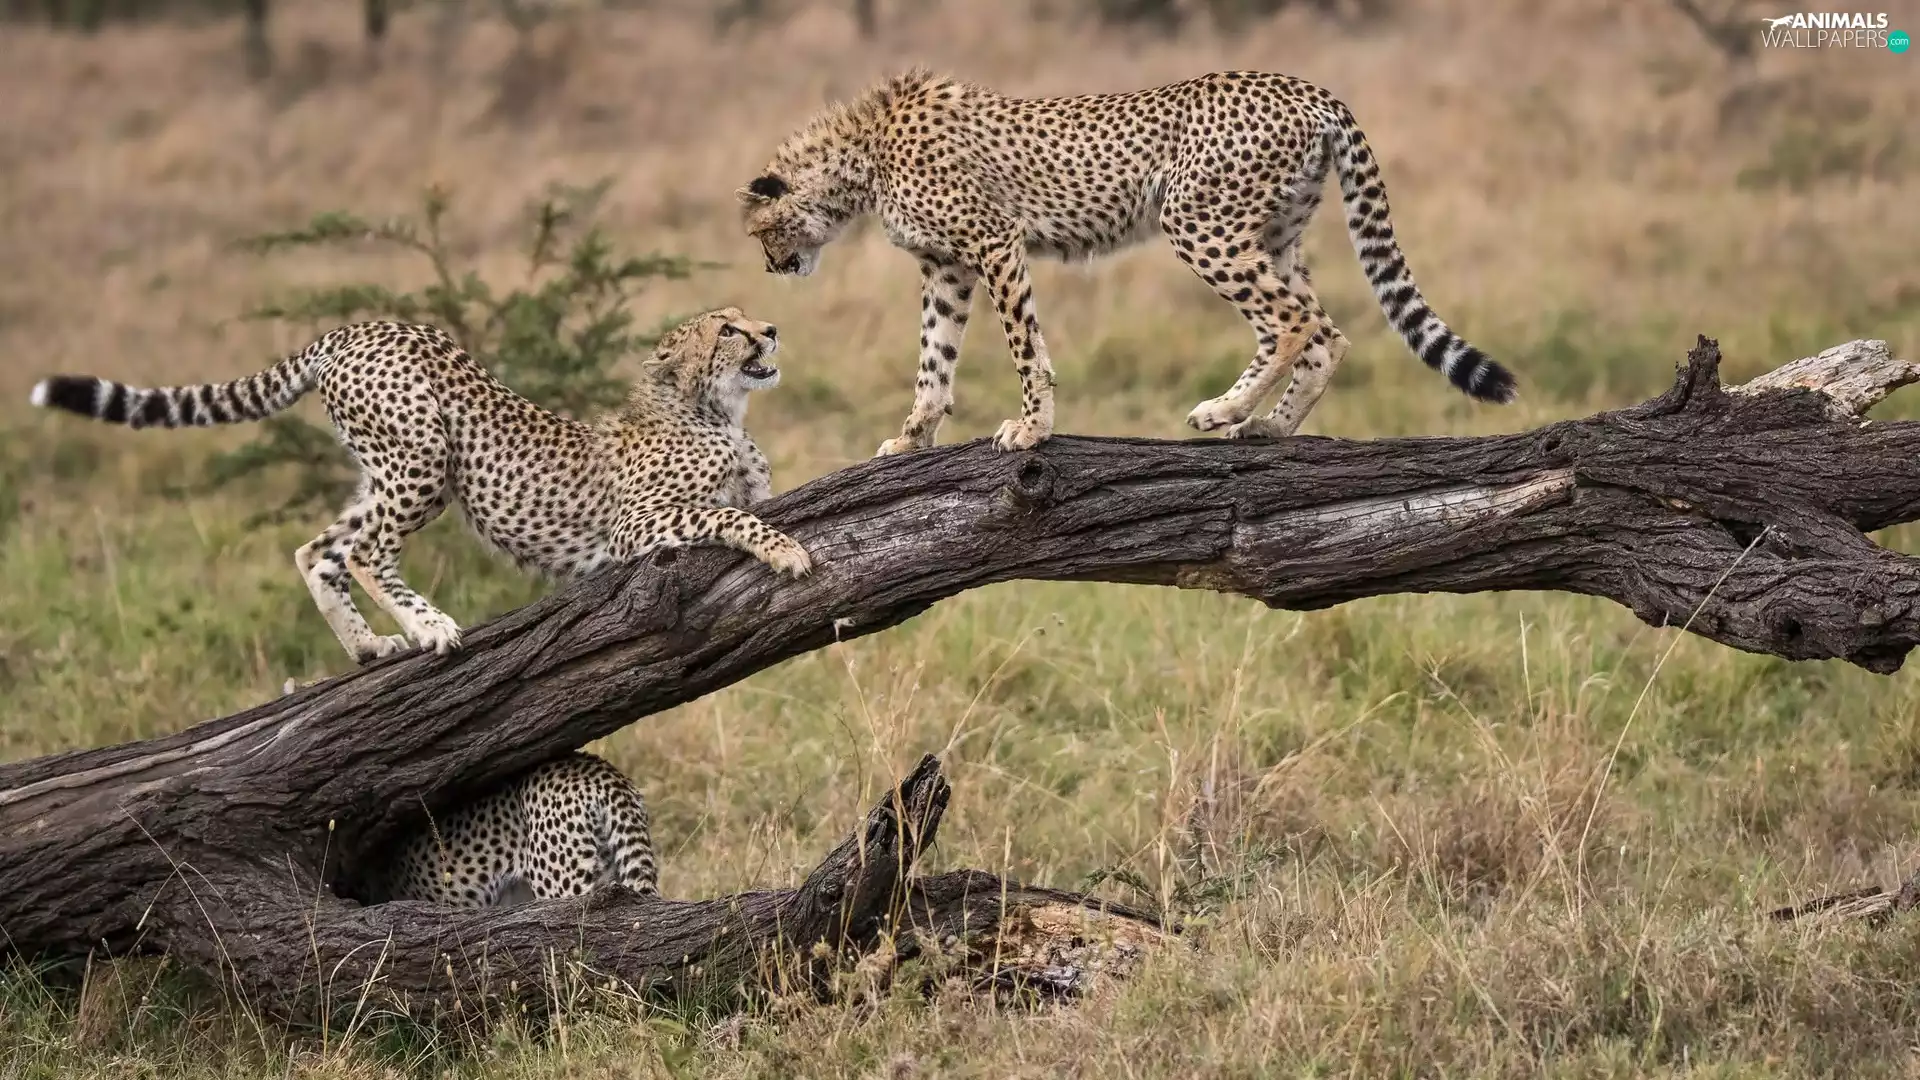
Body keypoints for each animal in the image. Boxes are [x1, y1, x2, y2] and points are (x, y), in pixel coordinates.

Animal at [30, 307, 811, 665]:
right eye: (727, 330)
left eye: (747, 320)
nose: (772, 329)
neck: (714, 411)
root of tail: (360, 326)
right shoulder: (634, 527)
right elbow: (731, 518)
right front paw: (787, 552)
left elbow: (748, 505)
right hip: (424, 457)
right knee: (365, 552)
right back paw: (427, 625)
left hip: (399, 471)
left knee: (317, 548)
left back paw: (369, 645)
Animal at [737, 68, 1517, 457]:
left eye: (756, 232)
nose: (772, 268)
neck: (860, 157)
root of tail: (1302, 85)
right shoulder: (946, 268)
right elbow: (934, 360)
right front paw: (911, 436)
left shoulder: (994, 244)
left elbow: (1025, 348)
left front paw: (1032, 429)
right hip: (1273, 236)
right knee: (1327, 331)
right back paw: (1267, 426)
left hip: (1197, 222)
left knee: (1292, 321)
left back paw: (1225, 408)